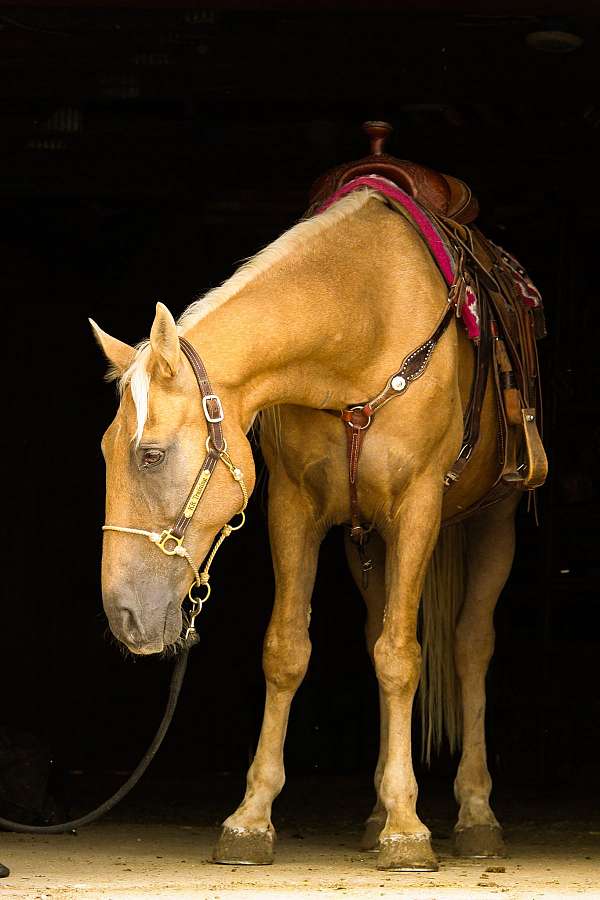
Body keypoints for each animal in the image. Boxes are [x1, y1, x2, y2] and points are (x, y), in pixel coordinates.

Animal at [92, 183, 536, 872]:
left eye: (151, 455)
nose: (124, 617)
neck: (364, 321)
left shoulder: (417, 509)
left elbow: (402, 657)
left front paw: (408, 831)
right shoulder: (295, 508)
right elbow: (287, 651)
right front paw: (251, 819)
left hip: (494, 519)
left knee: (469, 645)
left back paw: (475, 813)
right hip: (368, 543)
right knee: (377, 631)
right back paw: (377, 810)